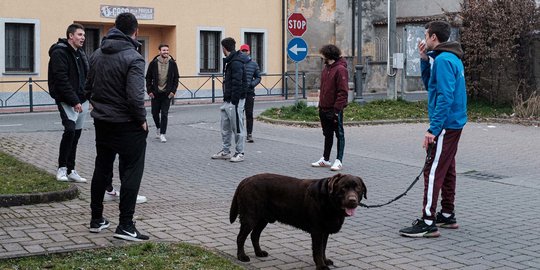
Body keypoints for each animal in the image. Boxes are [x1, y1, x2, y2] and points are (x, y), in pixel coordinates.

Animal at [230, 173, 364, 270]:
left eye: (357, 188)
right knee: (240, 237)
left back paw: (259, 252)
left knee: (254, 235)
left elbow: (323, 248)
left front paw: (325, 261)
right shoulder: (317, 231)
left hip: (263, 219)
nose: (352, 200)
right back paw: (241, 256)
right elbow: (317, 250)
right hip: (250, 217)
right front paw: (321, 266)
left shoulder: (324, 231)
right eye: (343, 188)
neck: (328, 200)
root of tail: (246, 180)